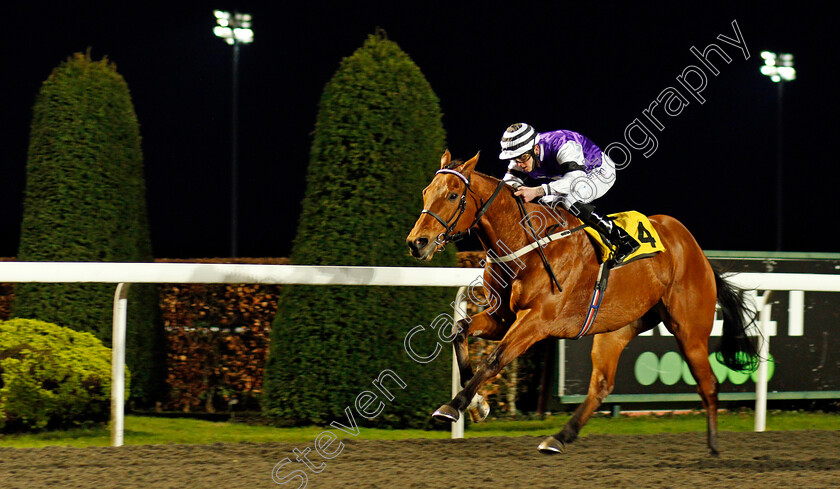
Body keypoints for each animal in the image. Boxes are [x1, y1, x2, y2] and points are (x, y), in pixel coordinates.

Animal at [404, 151, 756, 456]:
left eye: (452, 195)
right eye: (425, 192)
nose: (417, 243)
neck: (524, 244)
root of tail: (698, 253)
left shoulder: (539, 320)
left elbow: (495, 359)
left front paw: (454, 405)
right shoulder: (502, 318)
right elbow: (460, 332)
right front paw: (478, 405)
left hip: (689, 330)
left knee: (708, 385)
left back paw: (713, 449)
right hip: (617, 328)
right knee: (601, 385)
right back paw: (560, 437)